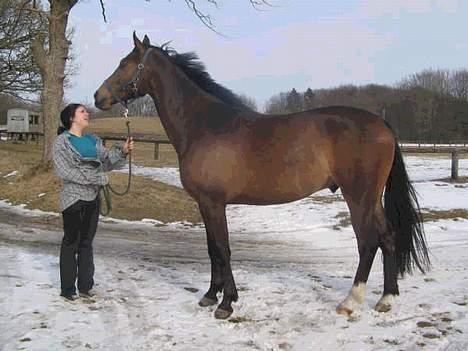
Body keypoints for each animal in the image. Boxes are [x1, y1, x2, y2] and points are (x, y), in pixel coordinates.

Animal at [95, 33, 432, 322]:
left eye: (124, 63)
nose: (98, 97)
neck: (205, 125)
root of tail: (382, 124)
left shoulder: (214, 203)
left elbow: (223, 248)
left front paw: (227, 303)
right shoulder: (204, 204)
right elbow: (212, 249)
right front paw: (210, 295)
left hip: (358, 197)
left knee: (368, 242)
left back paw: (350, 302)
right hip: (372, 198)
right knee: (387, 237)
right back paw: (386, 299)